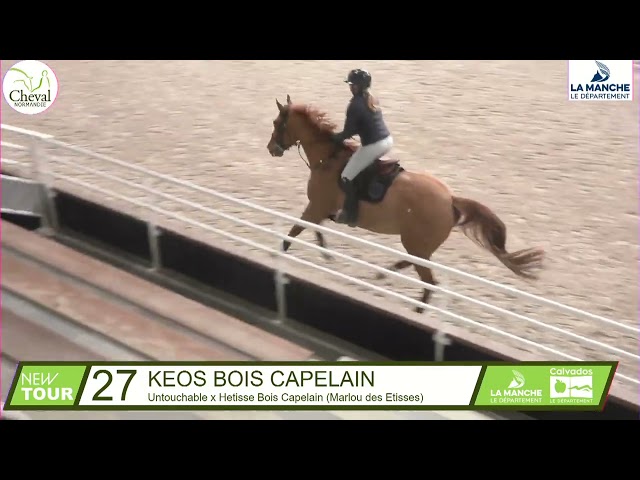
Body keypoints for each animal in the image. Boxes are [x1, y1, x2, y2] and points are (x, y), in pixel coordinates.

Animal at [266, 94, 544, 313]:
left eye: (277, 123)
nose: (271, 149)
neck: (328, 159)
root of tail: (451, 200)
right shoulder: (322, 209)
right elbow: (316, 230)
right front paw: (326, 253)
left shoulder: (316, 206)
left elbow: (295, 231)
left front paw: (277, 252)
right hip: (418, 245)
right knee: (418, 268)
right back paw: (385, 272)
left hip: (416, 243)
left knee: (428, 281)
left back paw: (414, 308)